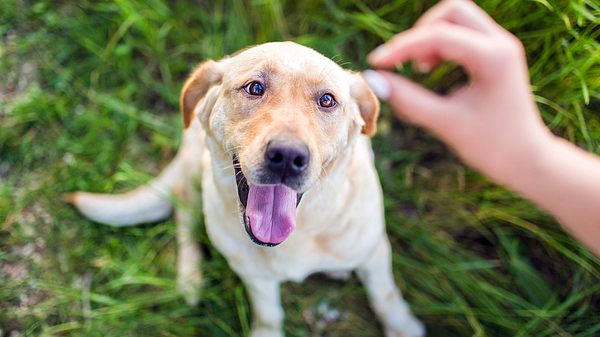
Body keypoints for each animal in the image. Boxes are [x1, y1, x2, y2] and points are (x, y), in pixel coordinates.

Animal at [68, 42, 424, 336]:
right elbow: (269, 314)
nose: (287, 156)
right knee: (185, 220)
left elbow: (385, 294)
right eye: (254, 87)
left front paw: (402, 326)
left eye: (327, 100)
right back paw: (190, 279)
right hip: (193, 175)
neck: (299, 234)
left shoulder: (375, 252)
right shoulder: (254, 276)